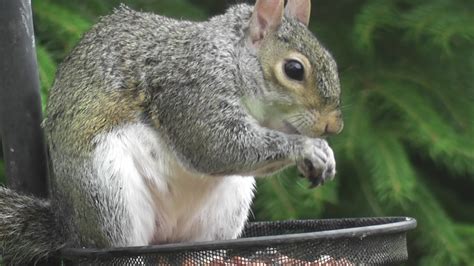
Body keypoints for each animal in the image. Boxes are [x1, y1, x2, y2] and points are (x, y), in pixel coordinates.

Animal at [0, 0, 340, 262]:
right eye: (294, 69)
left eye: (333, 62)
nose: (333, 126)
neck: (230, 58)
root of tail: (68, 226)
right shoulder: (193, 88)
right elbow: (215, 146)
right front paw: (307, 148)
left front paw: (325, 154)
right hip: (108, 195)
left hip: (226, 209)